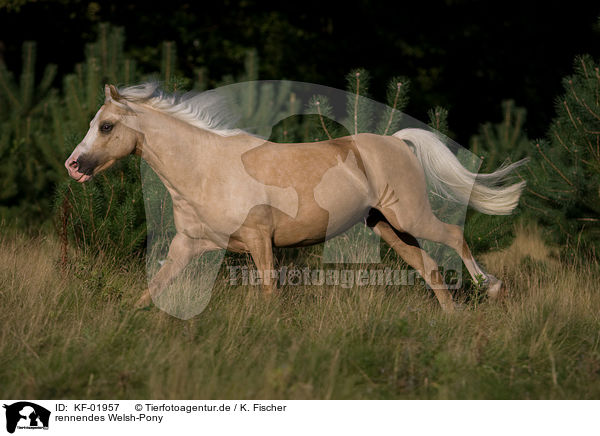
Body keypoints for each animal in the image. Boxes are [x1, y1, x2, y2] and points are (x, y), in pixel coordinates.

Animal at [65, 83, 524, 312]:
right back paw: (452, 318)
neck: (205, 169)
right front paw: (126, 321)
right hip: (387, 226)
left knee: (453, 237)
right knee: (428, 266)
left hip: (409, 216)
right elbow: (155, 286)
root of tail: (397, 142)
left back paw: (492, 288)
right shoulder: (189, 244)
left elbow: (270, 292)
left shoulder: (258, 240)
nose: (73, 165)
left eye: (106, 126)